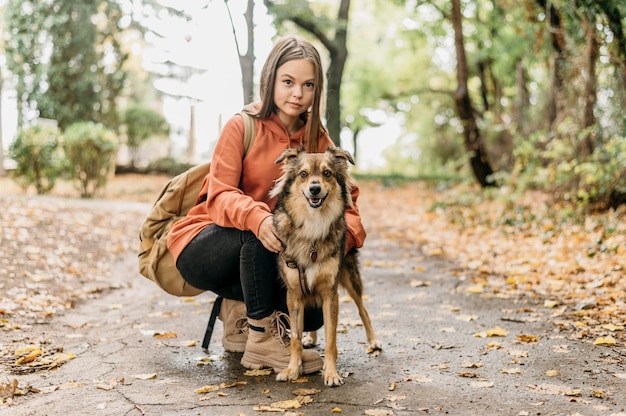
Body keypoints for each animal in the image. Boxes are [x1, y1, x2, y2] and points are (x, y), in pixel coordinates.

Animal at [266, 147, 378, 386]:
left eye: (327, 173)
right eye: (303, 174)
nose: (314, 189)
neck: (313, 225)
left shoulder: (330, 293)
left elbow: (331, 340)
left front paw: (331, 373)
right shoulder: (294, 294)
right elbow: (295, 338)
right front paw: (292, 369)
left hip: (351, 279)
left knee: (362, 309)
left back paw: (373, 340)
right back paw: (310, 338)